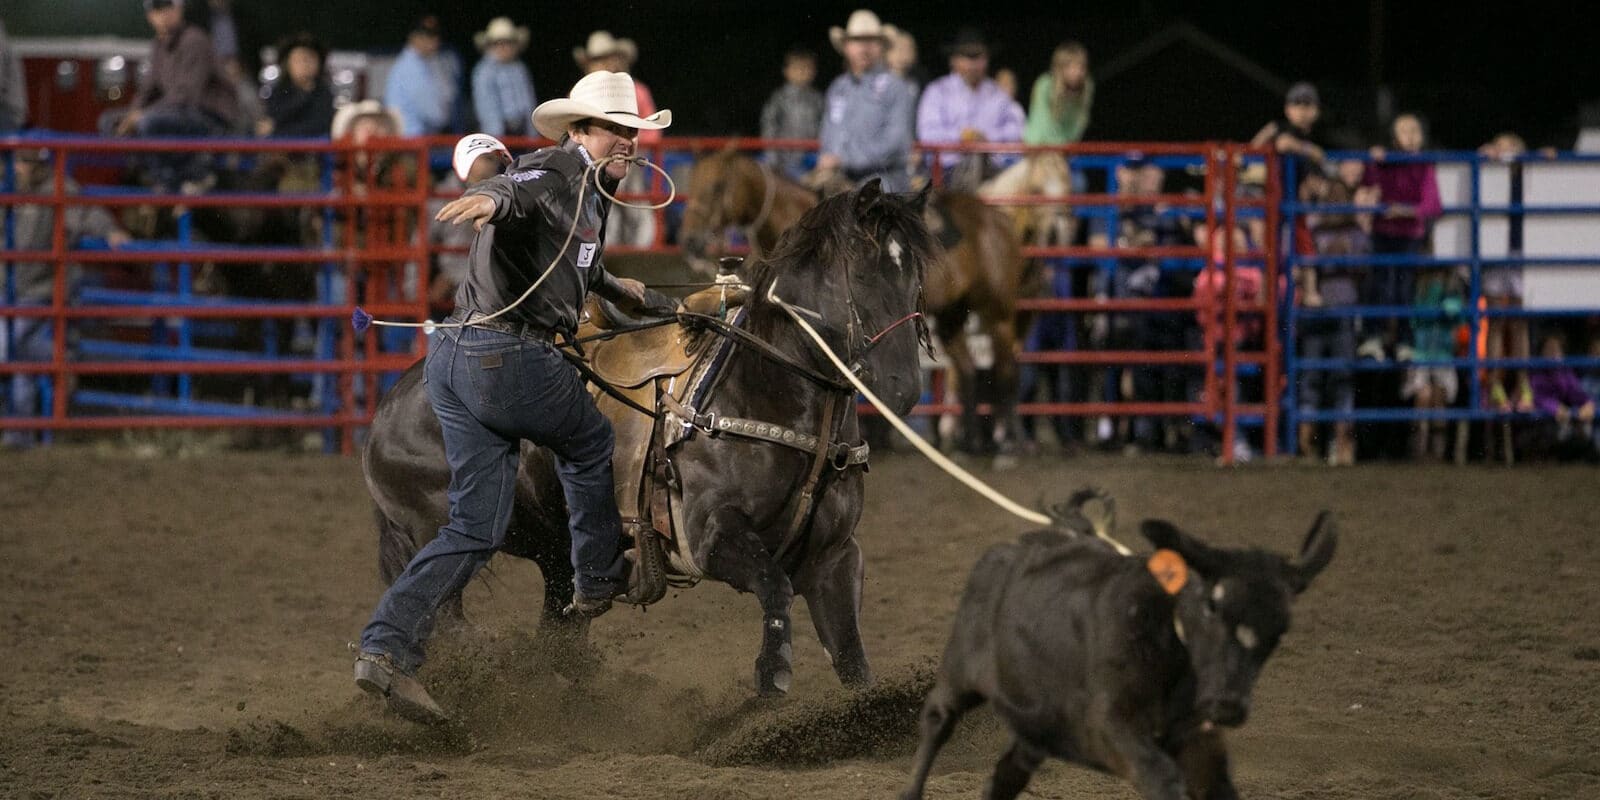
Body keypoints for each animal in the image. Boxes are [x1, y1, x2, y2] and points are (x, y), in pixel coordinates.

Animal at [363, 180, 934, 694]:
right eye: (863, 271)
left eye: (916, 278)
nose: (903, 388)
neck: (762, 385)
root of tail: (389, 408)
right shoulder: (709, 534)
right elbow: (774, 585)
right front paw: (772, 671)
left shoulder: (836, 556)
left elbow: (852, 657)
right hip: (439, 533)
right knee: (440, 616)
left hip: (555, 556)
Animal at [678, 147, 1036, 454]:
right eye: (692, 182)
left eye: (717, 186)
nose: (691, 241)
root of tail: (999, 220)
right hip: (952, 316)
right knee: (967, 371)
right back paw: (969, 443)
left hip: (998, 313)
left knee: (1007, 371)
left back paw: (1009, 445)